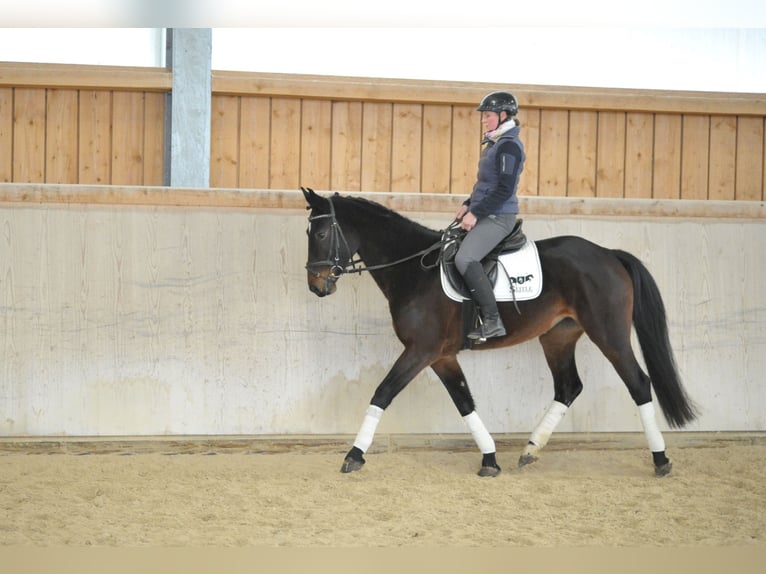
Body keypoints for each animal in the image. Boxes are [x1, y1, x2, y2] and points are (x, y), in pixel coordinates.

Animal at [304, 188, 700, 476]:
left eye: (321, 232)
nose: (315, 286)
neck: (415, 270)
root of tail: (608, 253)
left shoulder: (421, 350)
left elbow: (382, 393)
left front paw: (354, 454)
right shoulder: (442, 356)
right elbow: (465, 402)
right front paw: (490, 459)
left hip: (609, 333)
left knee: (638, 383)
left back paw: (661, 460)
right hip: (558, 336)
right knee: (568, 387)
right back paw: (530, 450)